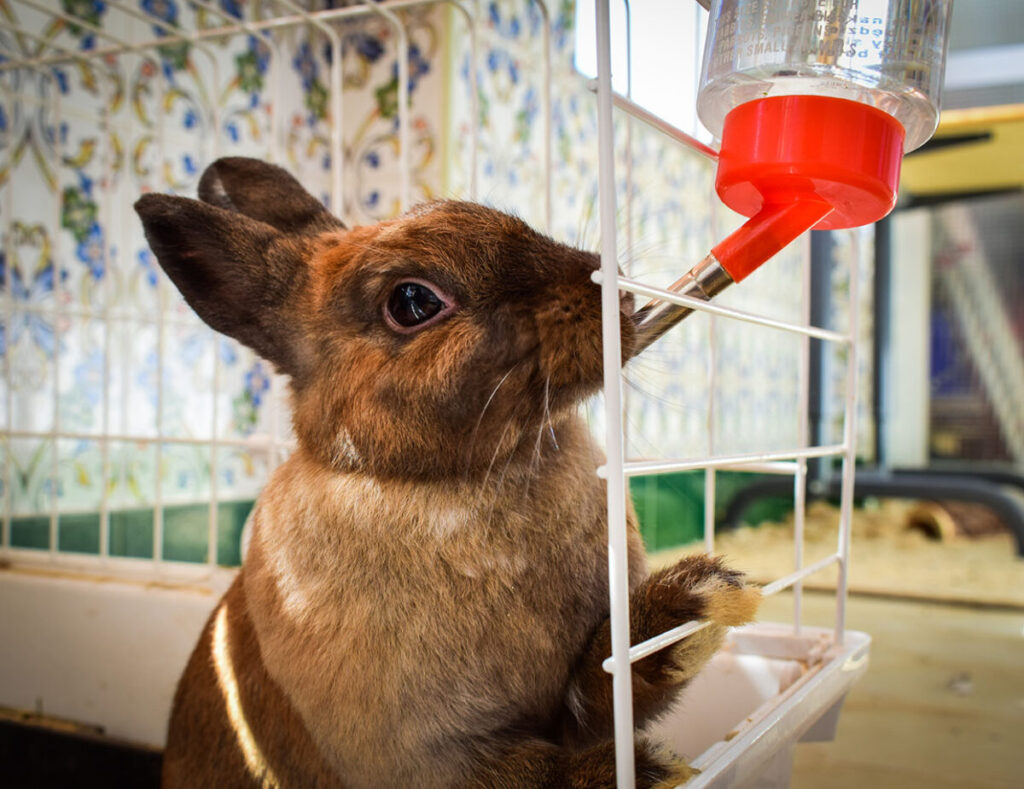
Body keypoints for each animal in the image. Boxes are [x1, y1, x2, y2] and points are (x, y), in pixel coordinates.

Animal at [134, 157, 761, 785]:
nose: (615, 292)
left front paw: (701, 601)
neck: (448, 478)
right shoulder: (432, 759)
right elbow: (535, 773)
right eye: (412, 302)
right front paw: (641, 770)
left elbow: (607, 679)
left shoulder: (575, 704)